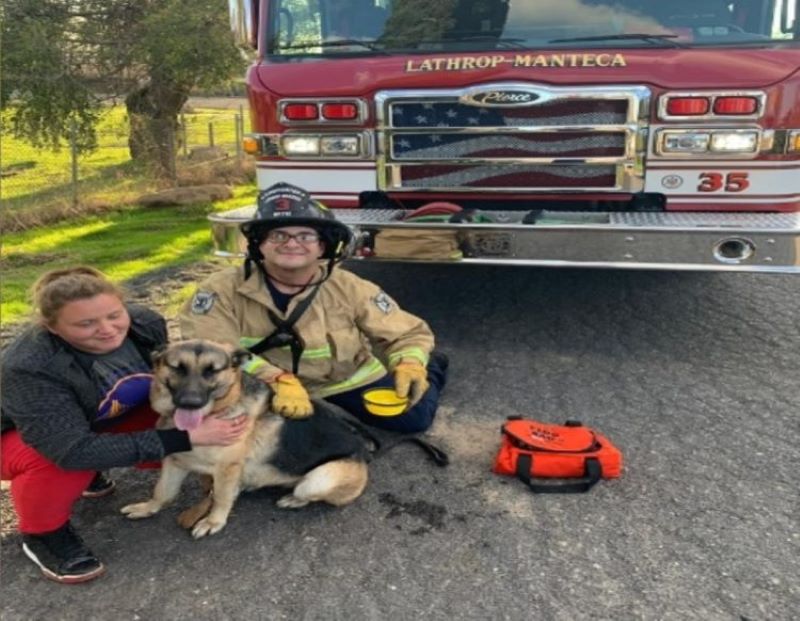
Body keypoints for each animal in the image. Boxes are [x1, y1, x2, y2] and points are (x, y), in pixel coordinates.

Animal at [120, 340, 370, 536]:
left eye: (212, 371)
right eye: (178, 368)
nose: (190, 402)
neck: (219, 410)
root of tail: (362, 450)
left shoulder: (227, 467)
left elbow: (220, 496)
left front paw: (213, 521)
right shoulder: (175, 461)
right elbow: (162, 491)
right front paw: (147, 507)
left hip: (318, 480)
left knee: (305, 491)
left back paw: (292, 499)